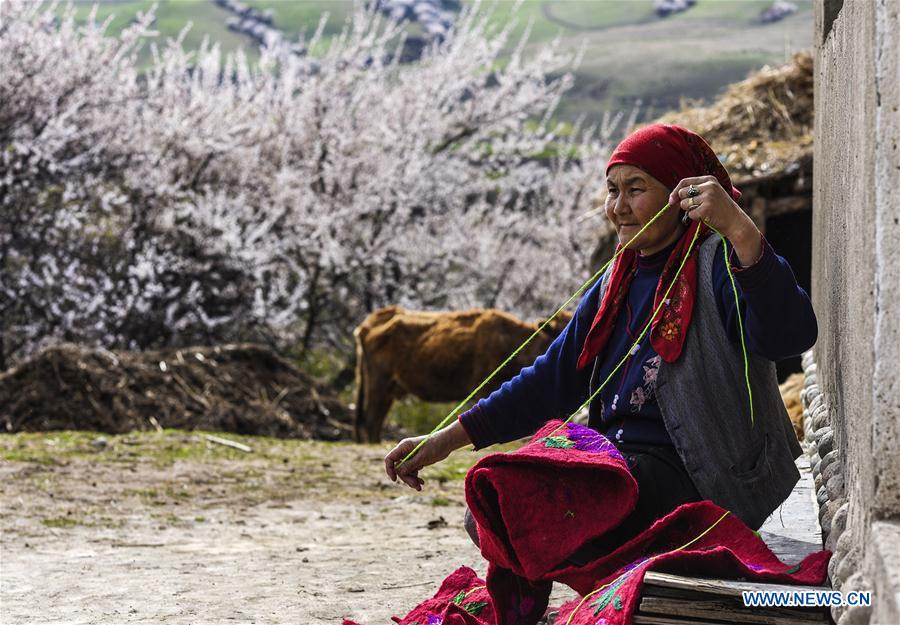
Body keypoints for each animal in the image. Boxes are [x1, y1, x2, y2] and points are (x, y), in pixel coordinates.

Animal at [354, 304, 572, 442]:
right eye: (558, 331)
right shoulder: (483, 386)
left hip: (388, 389)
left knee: (376, 421)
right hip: (378, 383)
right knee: (372, 421)